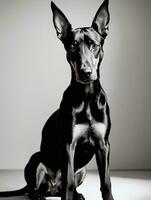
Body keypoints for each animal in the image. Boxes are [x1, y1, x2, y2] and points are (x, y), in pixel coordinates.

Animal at [0, 0, 114, 200]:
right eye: (72, 47)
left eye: (94, 45)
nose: (85, 72)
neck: (87, 97)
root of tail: (52, 188)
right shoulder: (69, 144)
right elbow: (68, 182)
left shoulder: (103, 145)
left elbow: (106, 183)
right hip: (37, 158)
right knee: (37, 188)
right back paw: (39, 194)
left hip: (83, 170)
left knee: (65, 186)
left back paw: (76, 194)